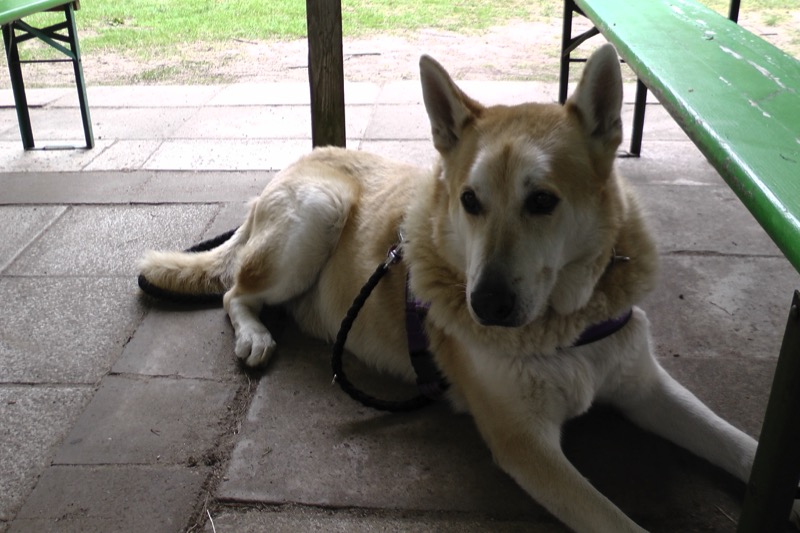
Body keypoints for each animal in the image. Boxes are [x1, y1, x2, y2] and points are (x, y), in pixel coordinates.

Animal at [138, 44, 800, 532]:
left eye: (543, 201)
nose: (486, 306)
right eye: (469, 201)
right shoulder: (526, 444)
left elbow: (738, 444)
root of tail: (297, 164)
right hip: (316, 214)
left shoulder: (646, 389)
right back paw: (253, 337)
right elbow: (616, 521)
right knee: (235, 293)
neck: (564, 326)